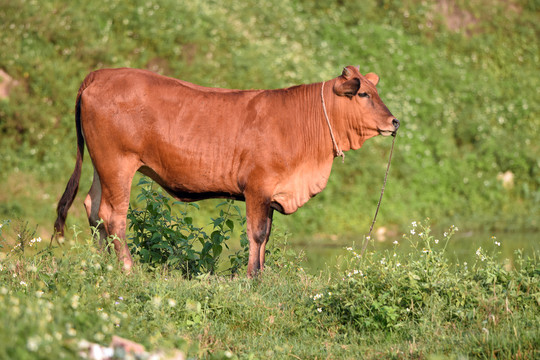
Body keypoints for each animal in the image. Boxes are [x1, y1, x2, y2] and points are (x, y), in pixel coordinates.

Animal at [52, 66, 398, 278]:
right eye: (364, 94)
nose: (394, 122)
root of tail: (102, 74)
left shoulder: (270, 193)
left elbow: (265, 235)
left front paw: (261, 274)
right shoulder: (258, 187)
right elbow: (257, 233)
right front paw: (252, 277)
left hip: (102, 165)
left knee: (93, 208)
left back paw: (104, 264)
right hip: (118, 162)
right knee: (113, 215)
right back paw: (126, 268)